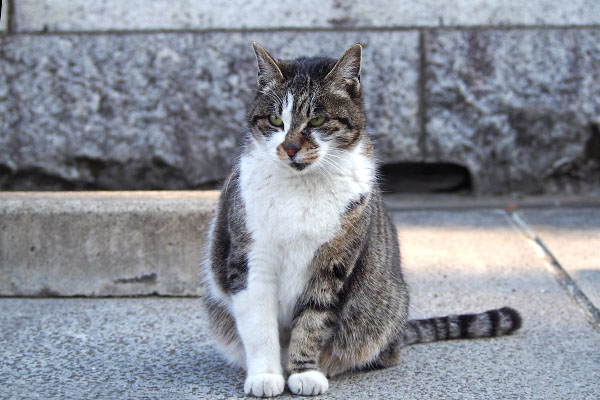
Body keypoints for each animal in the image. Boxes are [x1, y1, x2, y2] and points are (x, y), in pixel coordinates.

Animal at [202, 42, 520, 396]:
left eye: (317, 119)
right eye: (274, 119)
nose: (290, 148)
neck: (302, 186)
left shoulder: (334, 265)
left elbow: (313, 321)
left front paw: (304, 372)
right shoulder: (249, 259)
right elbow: (259, 324)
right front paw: (265, 375)